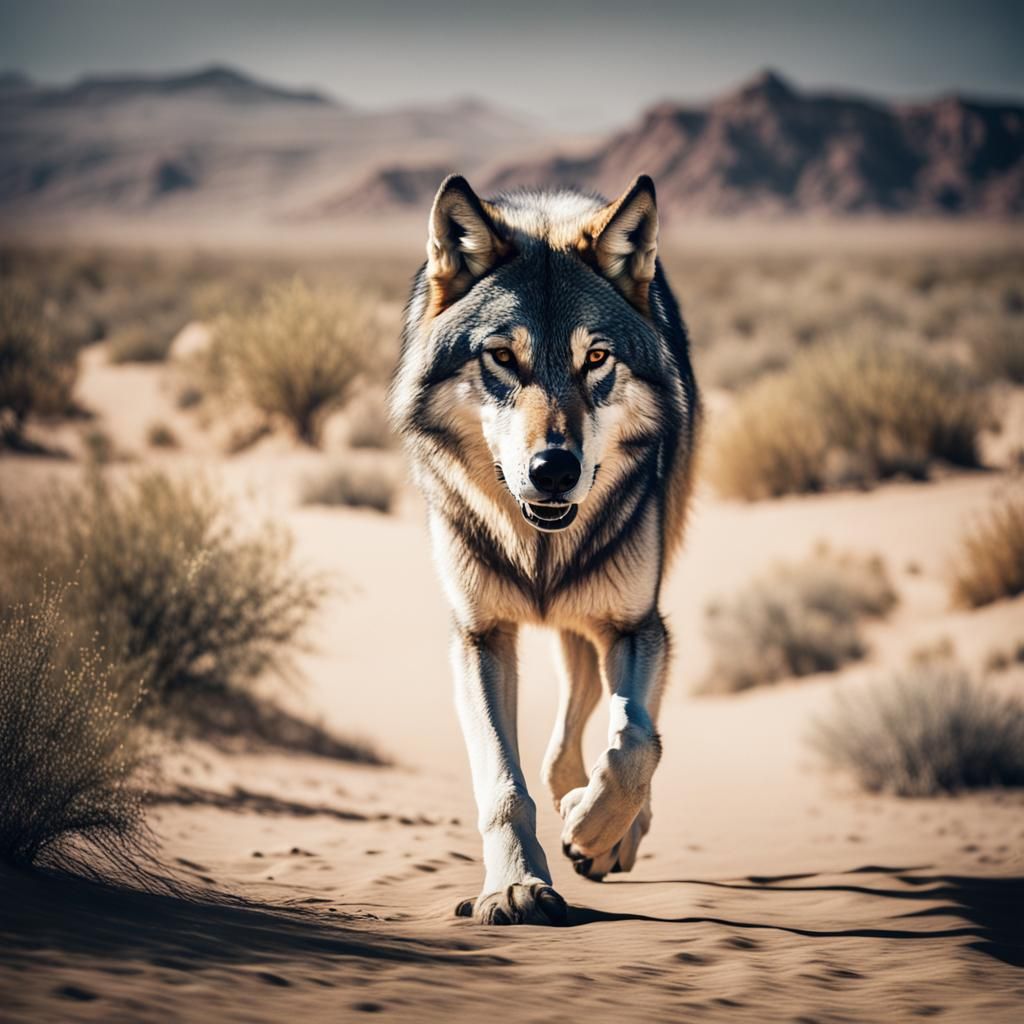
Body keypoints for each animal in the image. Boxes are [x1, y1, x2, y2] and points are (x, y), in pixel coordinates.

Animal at [390, 173, 700, 925]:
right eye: (503, 356)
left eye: (597, 358)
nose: (554, 469)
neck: (540, 550)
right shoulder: (480, 636)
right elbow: (504, 784)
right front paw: (515, 887)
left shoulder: (637, 624)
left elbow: (636, 743)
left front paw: (592, 828)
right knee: (570, 719)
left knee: (613, 719)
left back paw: (608, 834)